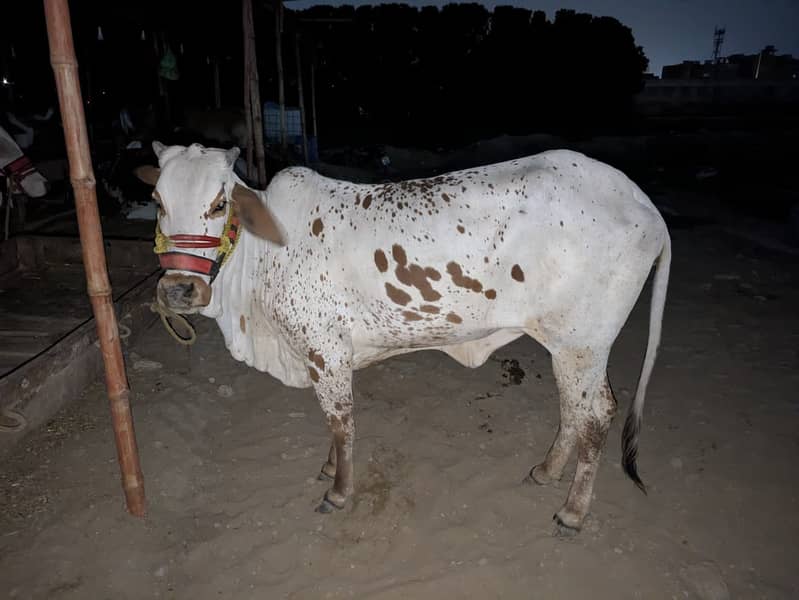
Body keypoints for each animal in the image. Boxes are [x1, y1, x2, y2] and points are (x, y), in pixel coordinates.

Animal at [135, 141, 670, 534]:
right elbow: (334, 424)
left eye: (219, 203)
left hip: (583, 345)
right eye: (158, 202)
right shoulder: (328, 356)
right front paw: (330, 468)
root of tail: (643, 203)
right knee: (574, 411)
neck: (263, 258)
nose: (179, 289)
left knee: (596, 415)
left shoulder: (325, 350)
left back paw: (573, 511)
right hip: (566, 347)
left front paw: (338, 491)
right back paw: (546, 470)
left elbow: (340, 421)